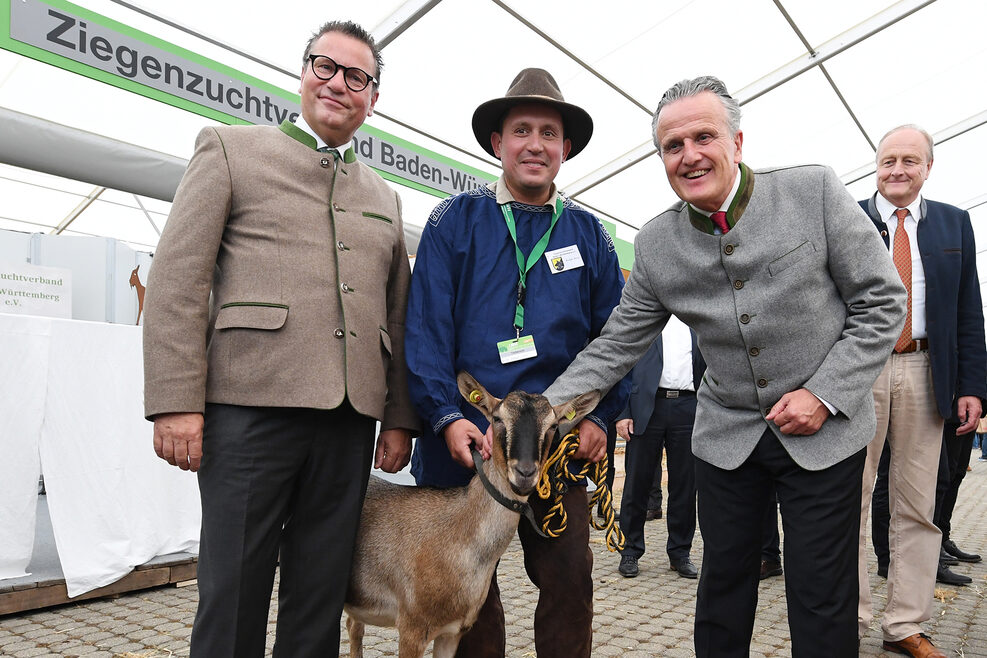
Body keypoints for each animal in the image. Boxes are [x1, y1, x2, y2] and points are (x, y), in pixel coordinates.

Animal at [344, 368, 600, 656]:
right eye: (497, 419)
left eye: (553, 426)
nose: (525, 473)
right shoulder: (411, 626)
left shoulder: (454, 630)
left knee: (353, 625)